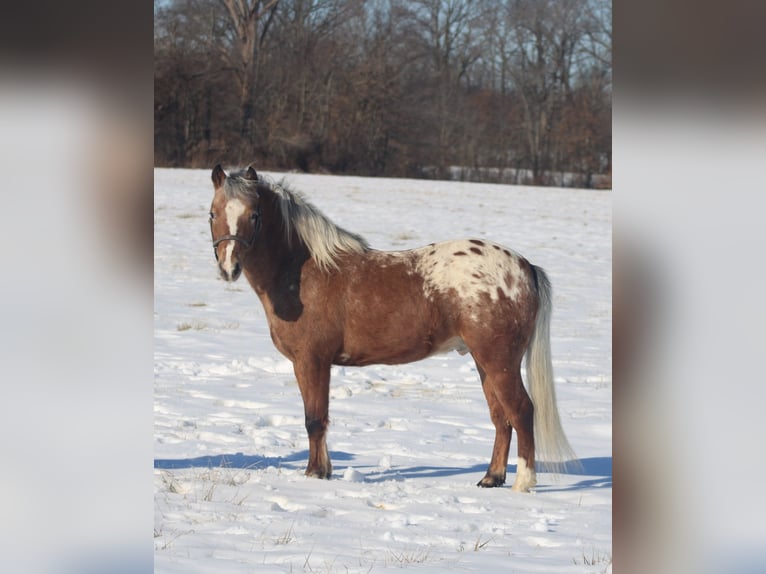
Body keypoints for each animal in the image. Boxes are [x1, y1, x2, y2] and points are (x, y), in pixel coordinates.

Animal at [207, 164, 580, 492]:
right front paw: (323, 470)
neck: (304, 272)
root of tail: (525, 267)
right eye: (213, 214)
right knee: (501, 418)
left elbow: (314, 419)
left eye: (254, 215)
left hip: (500, 362)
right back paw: (491, 477)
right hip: (484, 362)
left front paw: (314, 473)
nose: (229, 268)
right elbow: (320, 419)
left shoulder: (311, 361)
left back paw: (523, 482)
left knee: (522, 411)